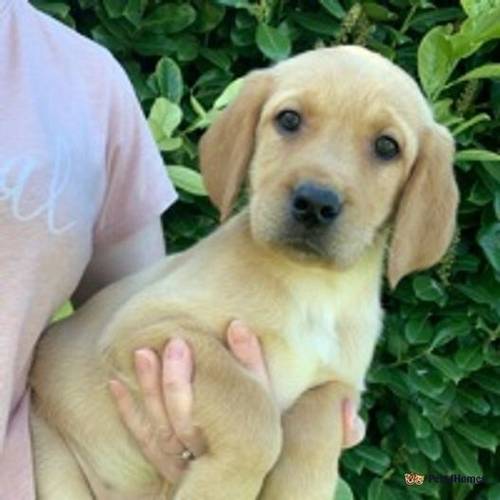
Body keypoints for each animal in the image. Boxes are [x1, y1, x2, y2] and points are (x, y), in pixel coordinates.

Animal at [30, 45, 458, 498]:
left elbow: (317, 429)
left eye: (387, 146)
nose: (315, 202)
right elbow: (253, 412)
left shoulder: (340, 387)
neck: (315, 290)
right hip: (54, 463)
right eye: (289, 120)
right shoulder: (149, 325)